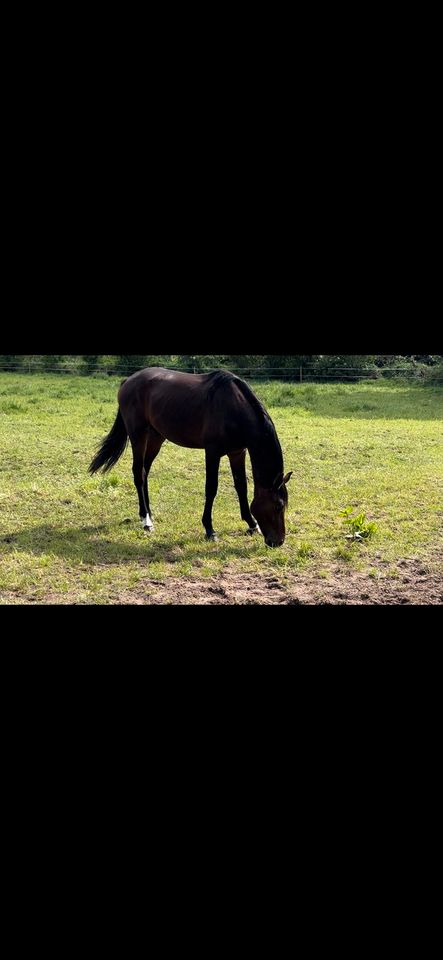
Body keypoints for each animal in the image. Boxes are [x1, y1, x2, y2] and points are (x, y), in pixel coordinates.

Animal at [88, 368, 294, 548]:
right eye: (278, 506)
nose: (278, 541)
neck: (233, 408)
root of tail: (128, 380)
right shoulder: (212, 452)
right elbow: (211, 488)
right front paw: (209, 529)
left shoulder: (237, 452)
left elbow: (241, 487)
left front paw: (251, 524)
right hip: (138, 435)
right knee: (138, 473)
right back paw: (146, 520)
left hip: (156, 437)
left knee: (145, 472)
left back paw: (148, 513)